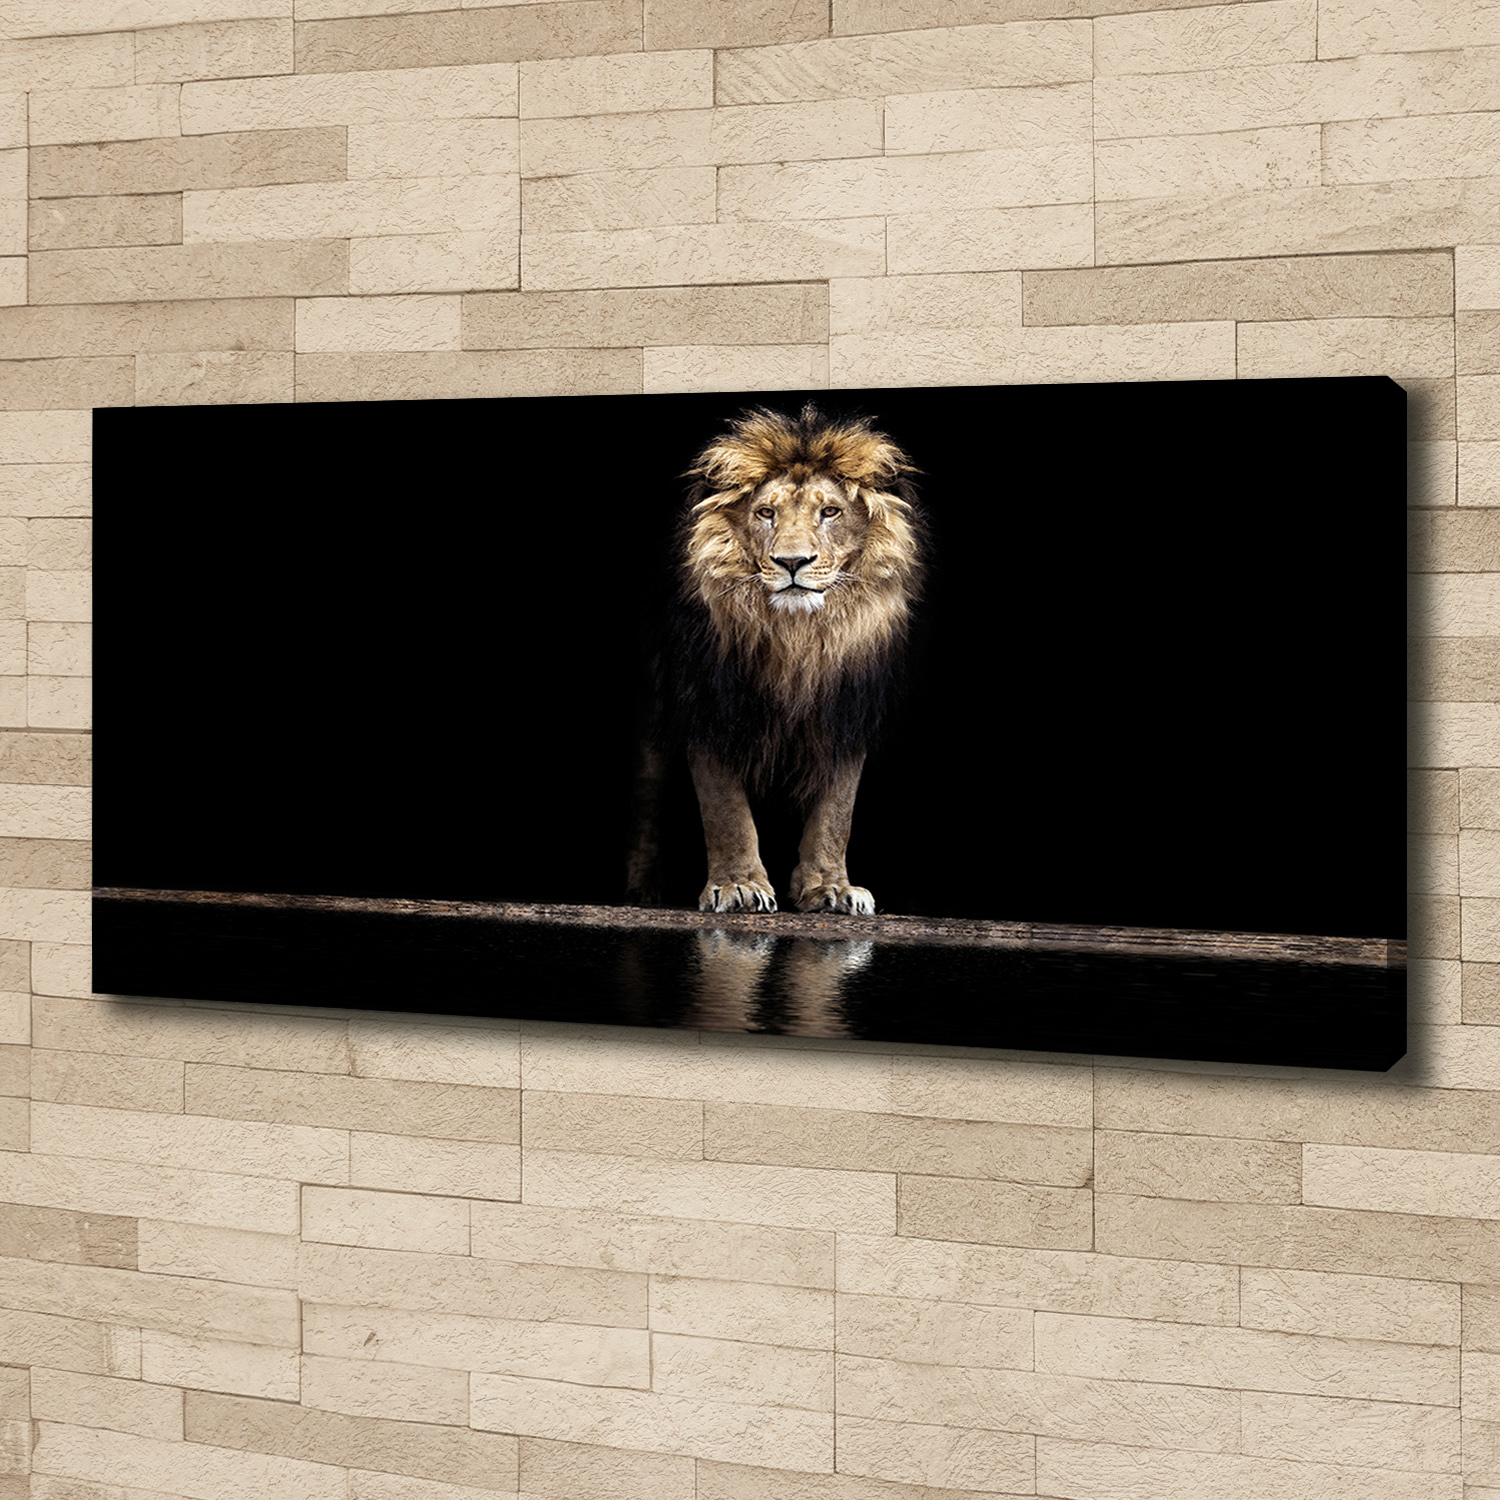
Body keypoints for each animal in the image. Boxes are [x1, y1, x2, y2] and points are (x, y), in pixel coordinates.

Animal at [649, 404, 925, 915]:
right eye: (765, 513)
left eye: (830, 511)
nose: (792, 562)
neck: (796, 639)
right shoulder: (709, 702)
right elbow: (725, 807)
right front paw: (738, 885)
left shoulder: (845, 711)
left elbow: (837, 811)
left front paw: (830, 887)